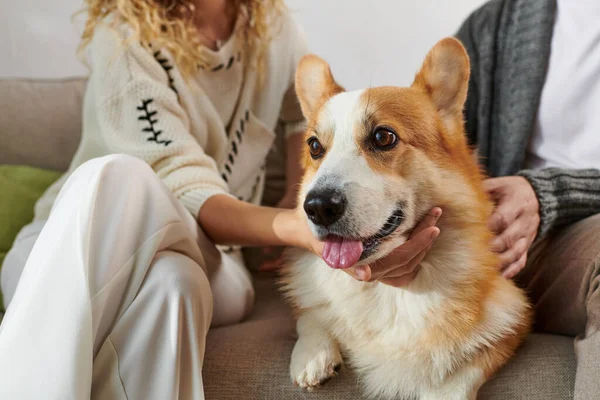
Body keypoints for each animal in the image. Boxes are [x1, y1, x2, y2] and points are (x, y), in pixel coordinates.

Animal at [278, 38, 532, 400]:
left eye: (383, 137)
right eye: (314, 147)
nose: (318, 207)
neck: (386, 291)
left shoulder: (513, 319)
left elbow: (459, 374)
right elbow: (311, 314)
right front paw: (314, 355)